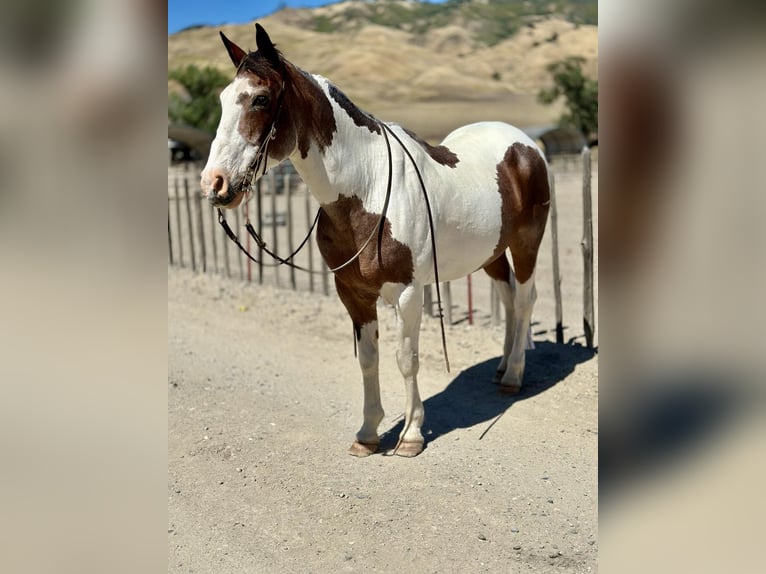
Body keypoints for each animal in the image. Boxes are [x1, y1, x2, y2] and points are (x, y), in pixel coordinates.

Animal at [200, 24, 551, 457]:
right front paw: (368, 432)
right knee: (508, 296)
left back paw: (514, 374)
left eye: (260, 98)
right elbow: (369, 358)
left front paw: (411, 434)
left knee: (525, 298)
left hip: (526, 243)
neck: (366, 187)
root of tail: (525, 144)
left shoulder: (409, 293)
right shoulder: (352, 293)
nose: (213, 184)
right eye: (222, 100)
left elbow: (406, 358)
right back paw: (502, 366)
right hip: (491, 252)